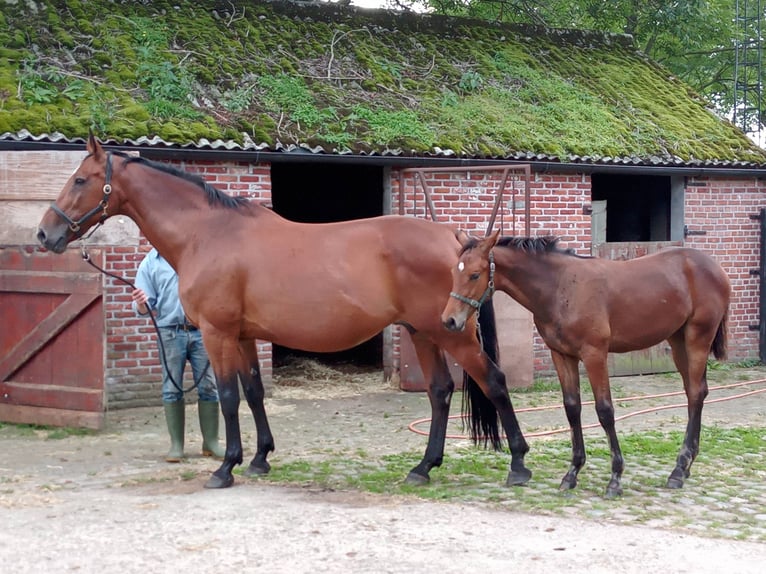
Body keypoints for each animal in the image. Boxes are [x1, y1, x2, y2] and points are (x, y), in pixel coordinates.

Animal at [36, 135, 536, 490]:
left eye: (79, 180)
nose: (45, 234)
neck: (207, 233)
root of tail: (453, 239)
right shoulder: (242, 336)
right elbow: (255, 392)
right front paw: (259, 459)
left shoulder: (217, 333)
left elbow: (228, 396)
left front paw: (225, 468)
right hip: (422, 331)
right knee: (439, 391)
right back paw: (423, 467)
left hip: (451, 333)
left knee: (493, 381)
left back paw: (518, 464)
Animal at [440, 232, 728, 498]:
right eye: (454, 271)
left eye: (475, 275)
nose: (449, 321)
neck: (561, 287)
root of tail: (714, 266)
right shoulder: (561, 355)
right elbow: (572, 408)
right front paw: (572, 473)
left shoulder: (594, 354)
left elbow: (605, 411)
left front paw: (615, 478)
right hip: (678, 341)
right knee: (695, 392)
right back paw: (685, 466)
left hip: (697, 338)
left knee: (695, 393)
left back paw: (679, 469)